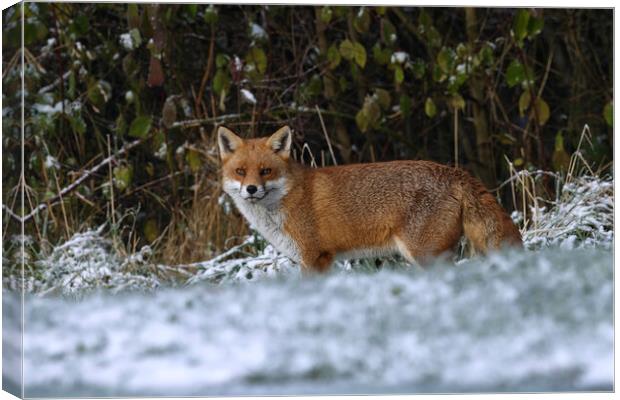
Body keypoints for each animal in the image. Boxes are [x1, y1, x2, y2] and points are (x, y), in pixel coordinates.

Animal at [218, 126, 524, 274]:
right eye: (241, 172)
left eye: (265, 171)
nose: (251, 189)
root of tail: (455, 172)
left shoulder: (315, 257)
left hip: (425, 255)